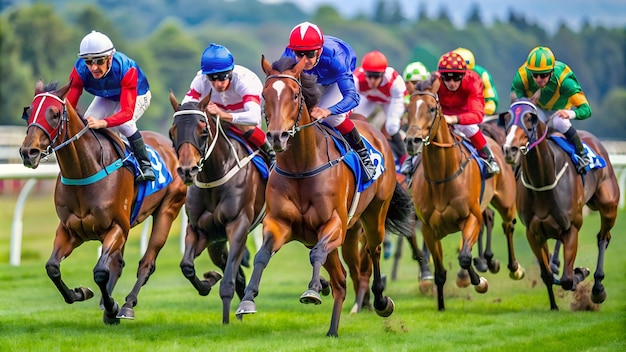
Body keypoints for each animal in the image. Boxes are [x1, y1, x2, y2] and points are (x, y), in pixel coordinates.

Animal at [18, 81, 185, 324]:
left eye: (55, 114)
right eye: (28, 112)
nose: (28, 152)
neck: (84, 170)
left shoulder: (116, 227)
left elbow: (100, 272)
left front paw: (112, 307)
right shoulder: (70, 230)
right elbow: (52, 268)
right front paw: (80, 293)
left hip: (168, 209)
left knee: (146, 263)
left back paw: (127, 305)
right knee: (118, 263)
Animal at [167, 92, 266, 324]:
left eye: (203, 131)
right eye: (172, 132)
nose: (187, 170)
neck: (213, 177)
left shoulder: (238, 226)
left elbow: (228, 281)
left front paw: (226, 322)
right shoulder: (200, 230)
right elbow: (186, 266)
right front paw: (208, 281)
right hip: (216, 243)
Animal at [234, 56, 414, 336]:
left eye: (295, 95)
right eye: (264, 95)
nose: (277, 136)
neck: (302, 166)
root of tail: (377, 133)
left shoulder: (334, 224)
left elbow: (316, 254)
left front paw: (312, 290)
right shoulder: (279, 224)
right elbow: (262, 255)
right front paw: (247, 300)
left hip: (374, 216)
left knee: (372, 250)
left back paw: (380, 301)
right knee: (341, 279)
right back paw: (332, 328)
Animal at [402, 73, 520, 310]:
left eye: (431, 108)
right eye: (408, 108)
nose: (412, 141)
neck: (441, 178)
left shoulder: (470, 217)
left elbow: (465, 257)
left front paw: (478, 282)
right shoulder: (429, 229)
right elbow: (440, 272)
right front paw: (441, 306)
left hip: (506, 201)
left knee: (508, 225)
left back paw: (513, 268)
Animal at [498, 94, 616, 310]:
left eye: (530, 118)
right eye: (507, 117)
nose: (509, 149)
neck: (543, 180)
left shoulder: (572, 227)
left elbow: (568, 279)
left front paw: (581, 273)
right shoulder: (534, 232)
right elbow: (547, 275)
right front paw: (553, 305)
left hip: (608, 205)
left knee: (603, 237)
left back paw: (597, 288)